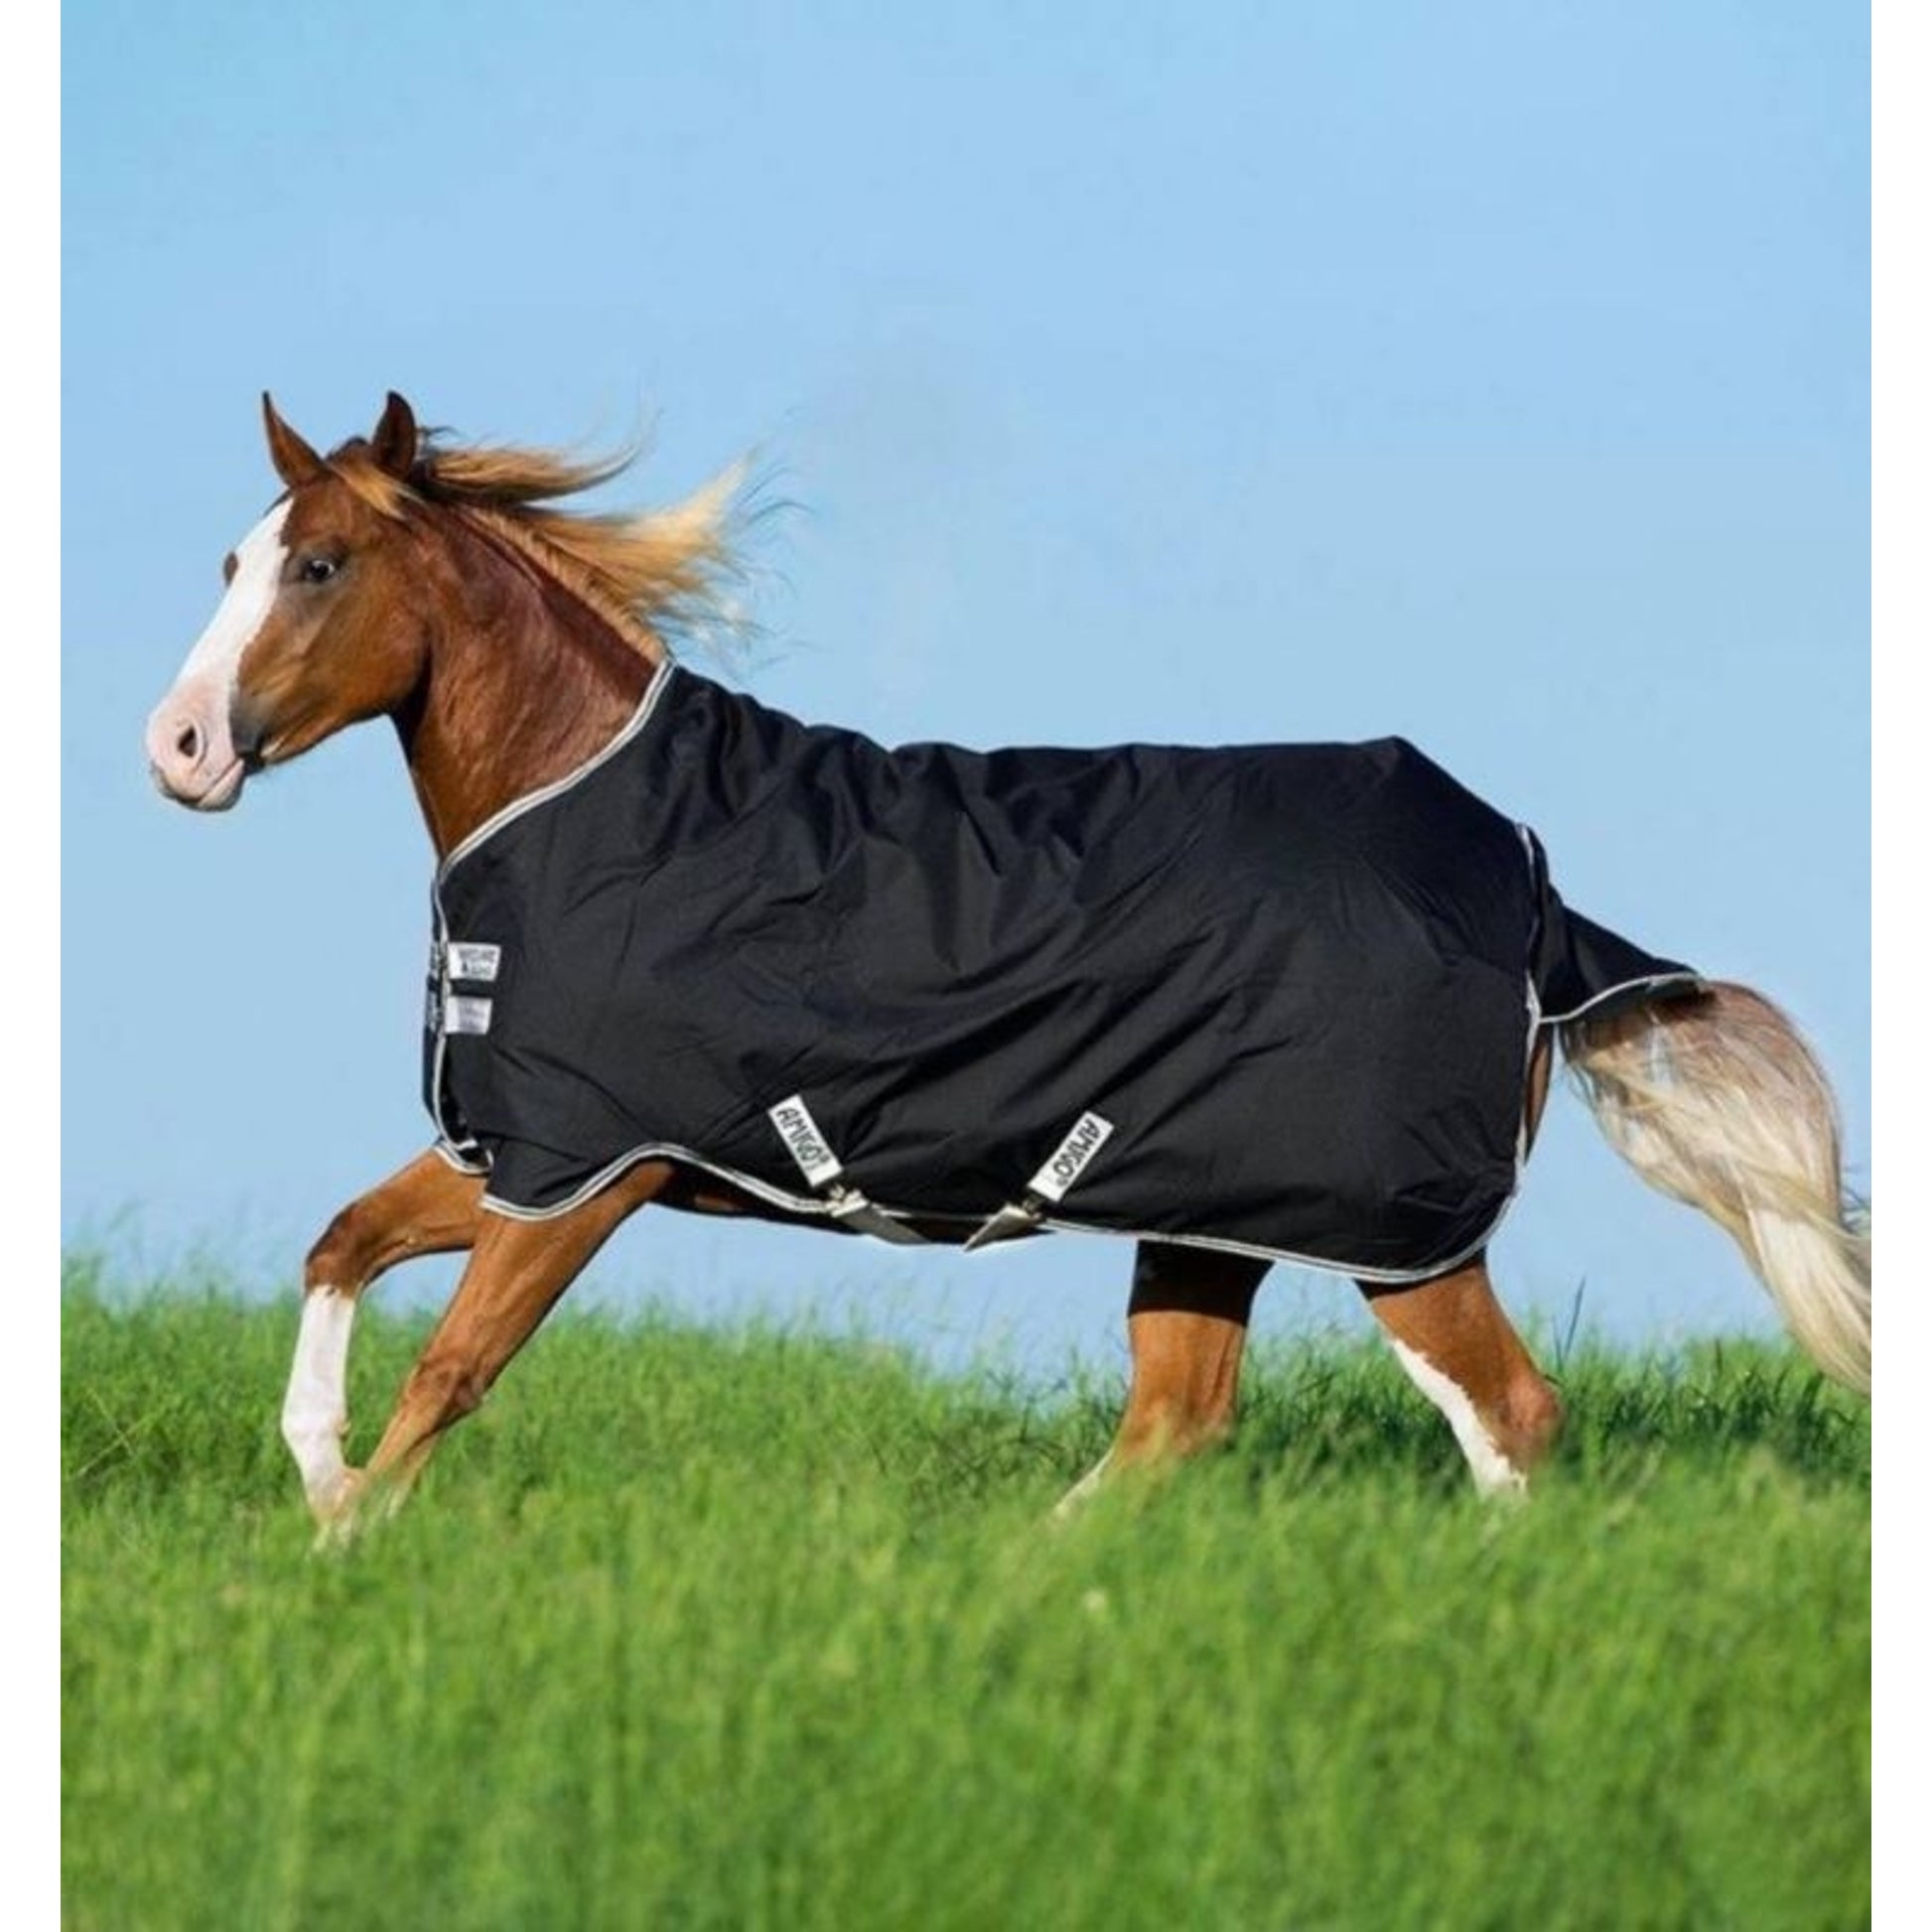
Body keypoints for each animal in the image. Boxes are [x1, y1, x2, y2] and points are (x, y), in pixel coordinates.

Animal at [144, 393, 1871, 1537]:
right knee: (1177, 1423)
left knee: (1509, 1417)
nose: (178, 748)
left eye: (319, 566)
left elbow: (452, 1367)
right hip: (1208, 1213)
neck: (588, 807)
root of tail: (1527, 885)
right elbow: (342, 1245)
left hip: (1394, 1230)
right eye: (233, 558)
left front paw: (348, 1539)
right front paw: (316, 1488)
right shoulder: (518, 1153)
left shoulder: (591, 1166)